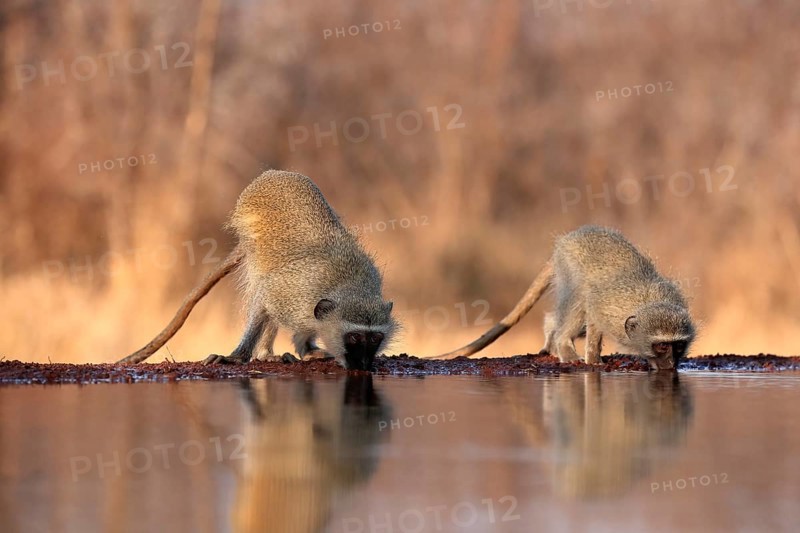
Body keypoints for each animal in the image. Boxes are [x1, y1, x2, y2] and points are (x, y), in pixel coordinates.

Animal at [118, 170, 396, 370]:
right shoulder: (292, 291)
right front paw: (237, 356)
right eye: (355, 338)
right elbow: (263, 298)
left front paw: (308, 349)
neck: (349, 285)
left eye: (374, 339)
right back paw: (264, 354)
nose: (364, 364)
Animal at [432, 225, 695, 370]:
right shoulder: (606, 307)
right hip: (568, 269)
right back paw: (561, 344)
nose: (671, 365)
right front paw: (593, 360)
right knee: (578, 299)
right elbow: (592, 315)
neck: (646, 302)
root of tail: (566, 241)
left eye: (678, 346)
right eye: (662, 346)